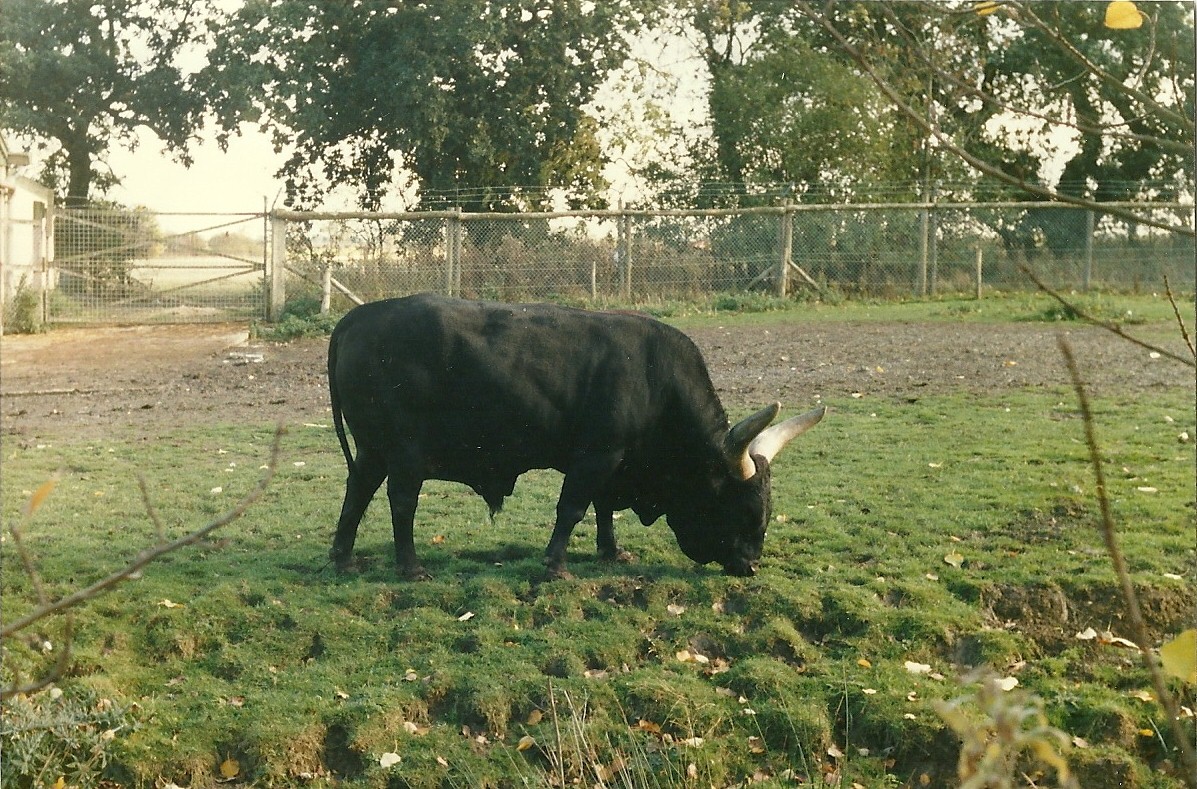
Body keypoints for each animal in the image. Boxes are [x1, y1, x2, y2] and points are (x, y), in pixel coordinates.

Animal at [326, 293, 824, 580]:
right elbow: (573, 508)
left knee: (357, 492)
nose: (751, 566)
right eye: (744, 509)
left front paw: (610, 551)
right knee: (401, 502)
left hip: (372, 450)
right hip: (404, 451)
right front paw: (555, 566)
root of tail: (362, 315)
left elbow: (603, 509)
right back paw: (410, 567)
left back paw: (343, 558)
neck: (654, 379)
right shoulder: (596, 455)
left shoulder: (612, 460)